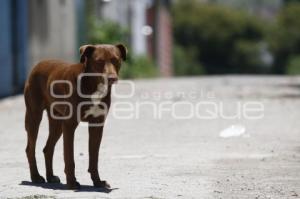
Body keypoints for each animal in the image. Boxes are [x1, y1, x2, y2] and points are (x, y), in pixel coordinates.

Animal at [24, 43, 126, 190]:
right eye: (99, 61)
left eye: (116, 60)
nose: (112, 78)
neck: (92, 83)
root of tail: (38, 64)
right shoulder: (70, 125)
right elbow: (69, 157)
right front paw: (72, 182)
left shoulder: (97, 125)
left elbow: (94, 157)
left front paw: (98, 182)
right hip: (34, 116)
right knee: (30, 149)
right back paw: (36, 177)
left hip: (57, 123)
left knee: (48, 148)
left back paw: (50, 177)